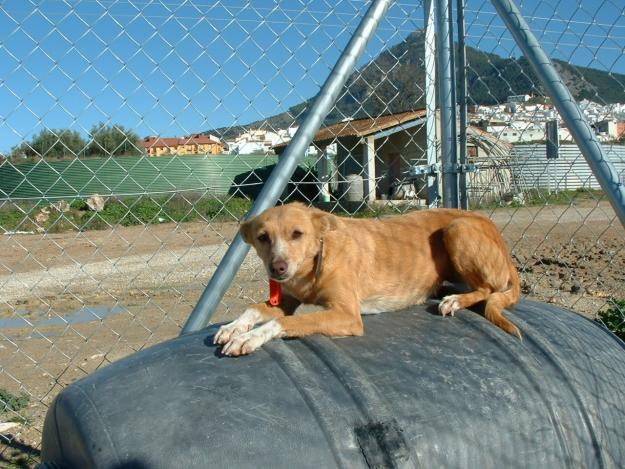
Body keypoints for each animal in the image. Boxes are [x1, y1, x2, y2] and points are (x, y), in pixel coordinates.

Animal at [216, 201, 520, 354]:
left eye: (297, 234)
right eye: (262, 238)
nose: (277, 269)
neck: (314, 263)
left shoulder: (348, 315)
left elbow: (287, 322)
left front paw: (251, 337)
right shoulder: (287, 300)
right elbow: (253, 309)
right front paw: (234, 327)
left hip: (457, 229)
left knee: (488, 289)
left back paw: (455, 300)